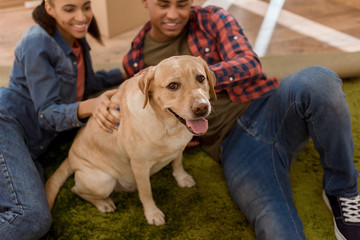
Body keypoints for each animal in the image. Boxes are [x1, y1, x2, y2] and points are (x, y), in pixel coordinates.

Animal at [46, 55, 218, 225]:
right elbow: (146, 192)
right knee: (76, 190)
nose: (201, 107)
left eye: (201, 78)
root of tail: (69, 157)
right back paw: (103, 203)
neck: (167, 126)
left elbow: (178, 163)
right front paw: (152, 213)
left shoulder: (178, 148)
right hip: (103, 181)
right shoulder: (139, 166)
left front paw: (181, 178)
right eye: (173, 85)